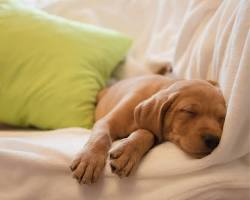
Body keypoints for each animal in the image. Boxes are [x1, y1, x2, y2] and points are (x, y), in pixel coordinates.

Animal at [70, 75, 227, 184]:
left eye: (222, 118)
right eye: (189, 111)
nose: (214, 141)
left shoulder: (153, 131)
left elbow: (147, 132)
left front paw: (128, 152)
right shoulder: (107, 122)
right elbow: (100, 137)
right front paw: (89, 159)